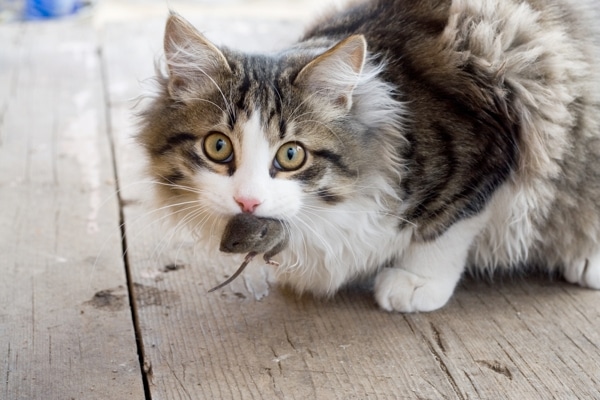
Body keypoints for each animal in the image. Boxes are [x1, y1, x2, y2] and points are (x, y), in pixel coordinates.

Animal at [138, 0, 600, 312]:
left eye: (291, 155)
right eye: (218, 147)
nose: (247, 201)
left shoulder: (492, 144)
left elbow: (446, 227)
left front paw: (416, 282)